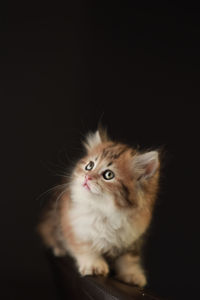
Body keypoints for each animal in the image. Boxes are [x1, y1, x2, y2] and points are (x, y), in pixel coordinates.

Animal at [37, 127, 160, 288]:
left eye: (108, 175)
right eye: (89, 166)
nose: (87, 177)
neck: (105, 210)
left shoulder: (133, 238)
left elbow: (128, 259)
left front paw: (132, 275)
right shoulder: (75, 227)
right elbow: (86, 247)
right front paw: (94, 266)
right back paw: (59, 249)